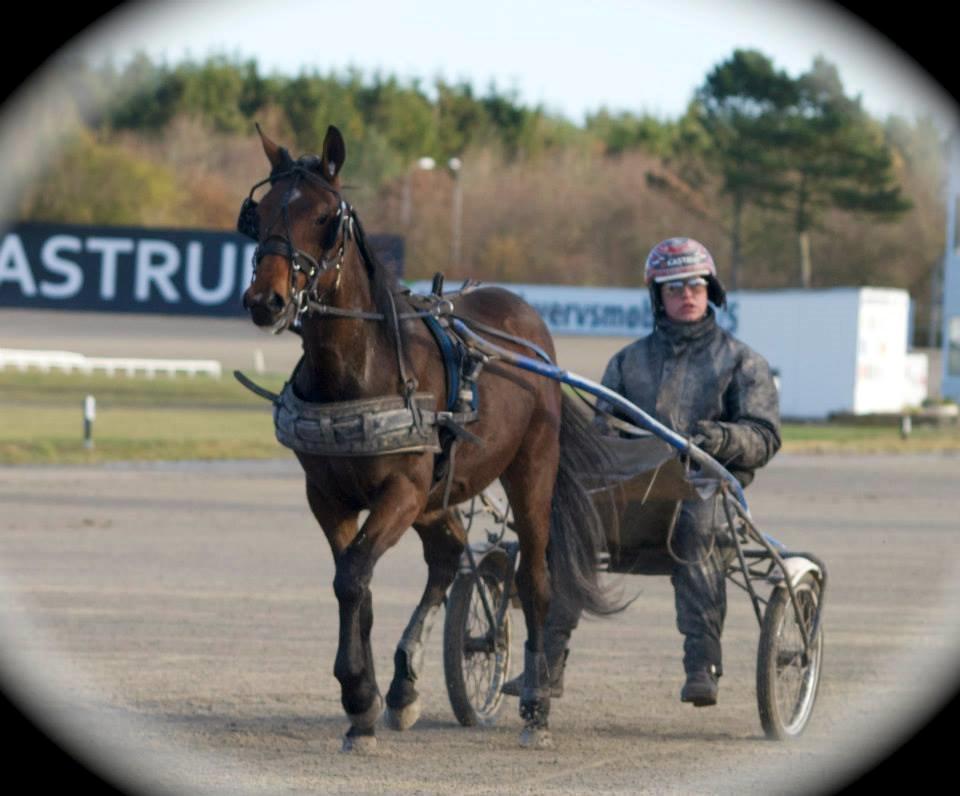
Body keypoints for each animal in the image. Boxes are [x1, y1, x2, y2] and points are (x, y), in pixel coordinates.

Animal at [240, 126, 616, 752]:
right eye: (262, 211)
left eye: (323, 216)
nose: (265, 300)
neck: (360, 370)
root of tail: (528, 326)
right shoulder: (329, 496)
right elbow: (356, 586)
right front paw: (365, 705)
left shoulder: (402, 489)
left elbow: (353, 577)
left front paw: (357, 693)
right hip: (440, 492)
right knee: (446, 559)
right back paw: (404, 687)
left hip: (529, 469)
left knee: (534, 579)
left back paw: (536, 705)